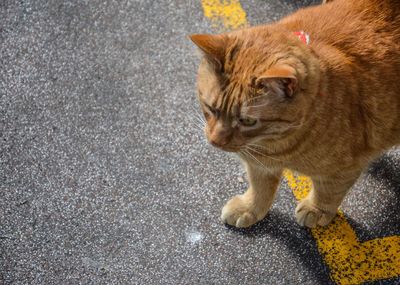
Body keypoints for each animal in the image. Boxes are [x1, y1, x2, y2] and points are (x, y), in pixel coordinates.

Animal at [191, 0, 400, 227]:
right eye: (211, 108)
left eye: (247, 121)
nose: (215, 141)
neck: (275, 145)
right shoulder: (259, 165)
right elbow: (260, 188)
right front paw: (250, 208)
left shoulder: (343, 170)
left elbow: (328, 192)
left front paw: (316, 209)